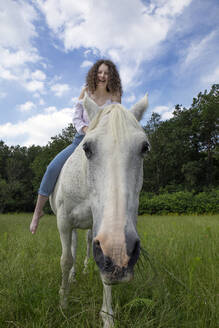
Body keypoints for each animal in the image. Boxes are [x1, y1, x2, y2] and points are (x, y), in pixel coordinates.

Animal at [49, 93, 149, 328]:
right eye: (87, 148)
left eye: (144, 148)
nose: (121, 251)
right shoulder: (64, 222)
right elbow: (65, 260)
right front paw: (63, 302)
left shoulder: (101, 232)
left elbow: (105, 271)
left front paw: (107, 316)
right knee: (73, 248)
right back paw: (73, 277)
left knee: (85, 245)